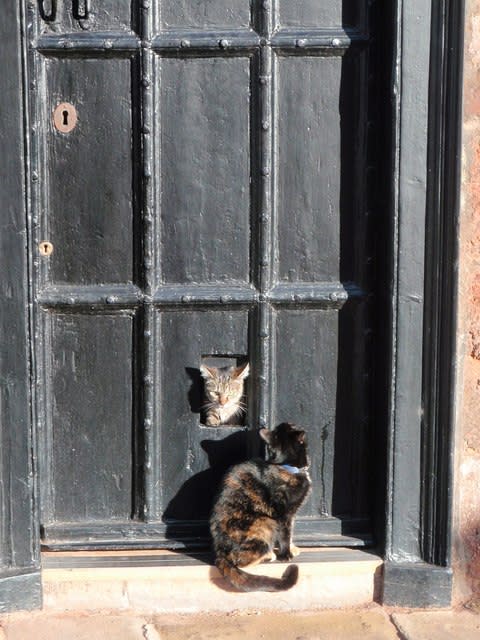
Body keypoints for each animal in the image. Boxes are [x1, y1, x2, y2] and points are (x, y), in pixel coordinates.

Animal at [210, 422, 312, 592]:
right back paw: (269, 555)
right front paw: (286, 555)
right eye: (292, 425)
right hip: (266, 521)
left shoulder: (292, 514)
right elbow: (285, 535)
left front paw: (293, 548)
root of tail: (219, 551)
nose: (296, 424)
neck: (285, 466)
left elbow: (291, 533)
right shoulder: (283, 514)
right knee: (240, 561)